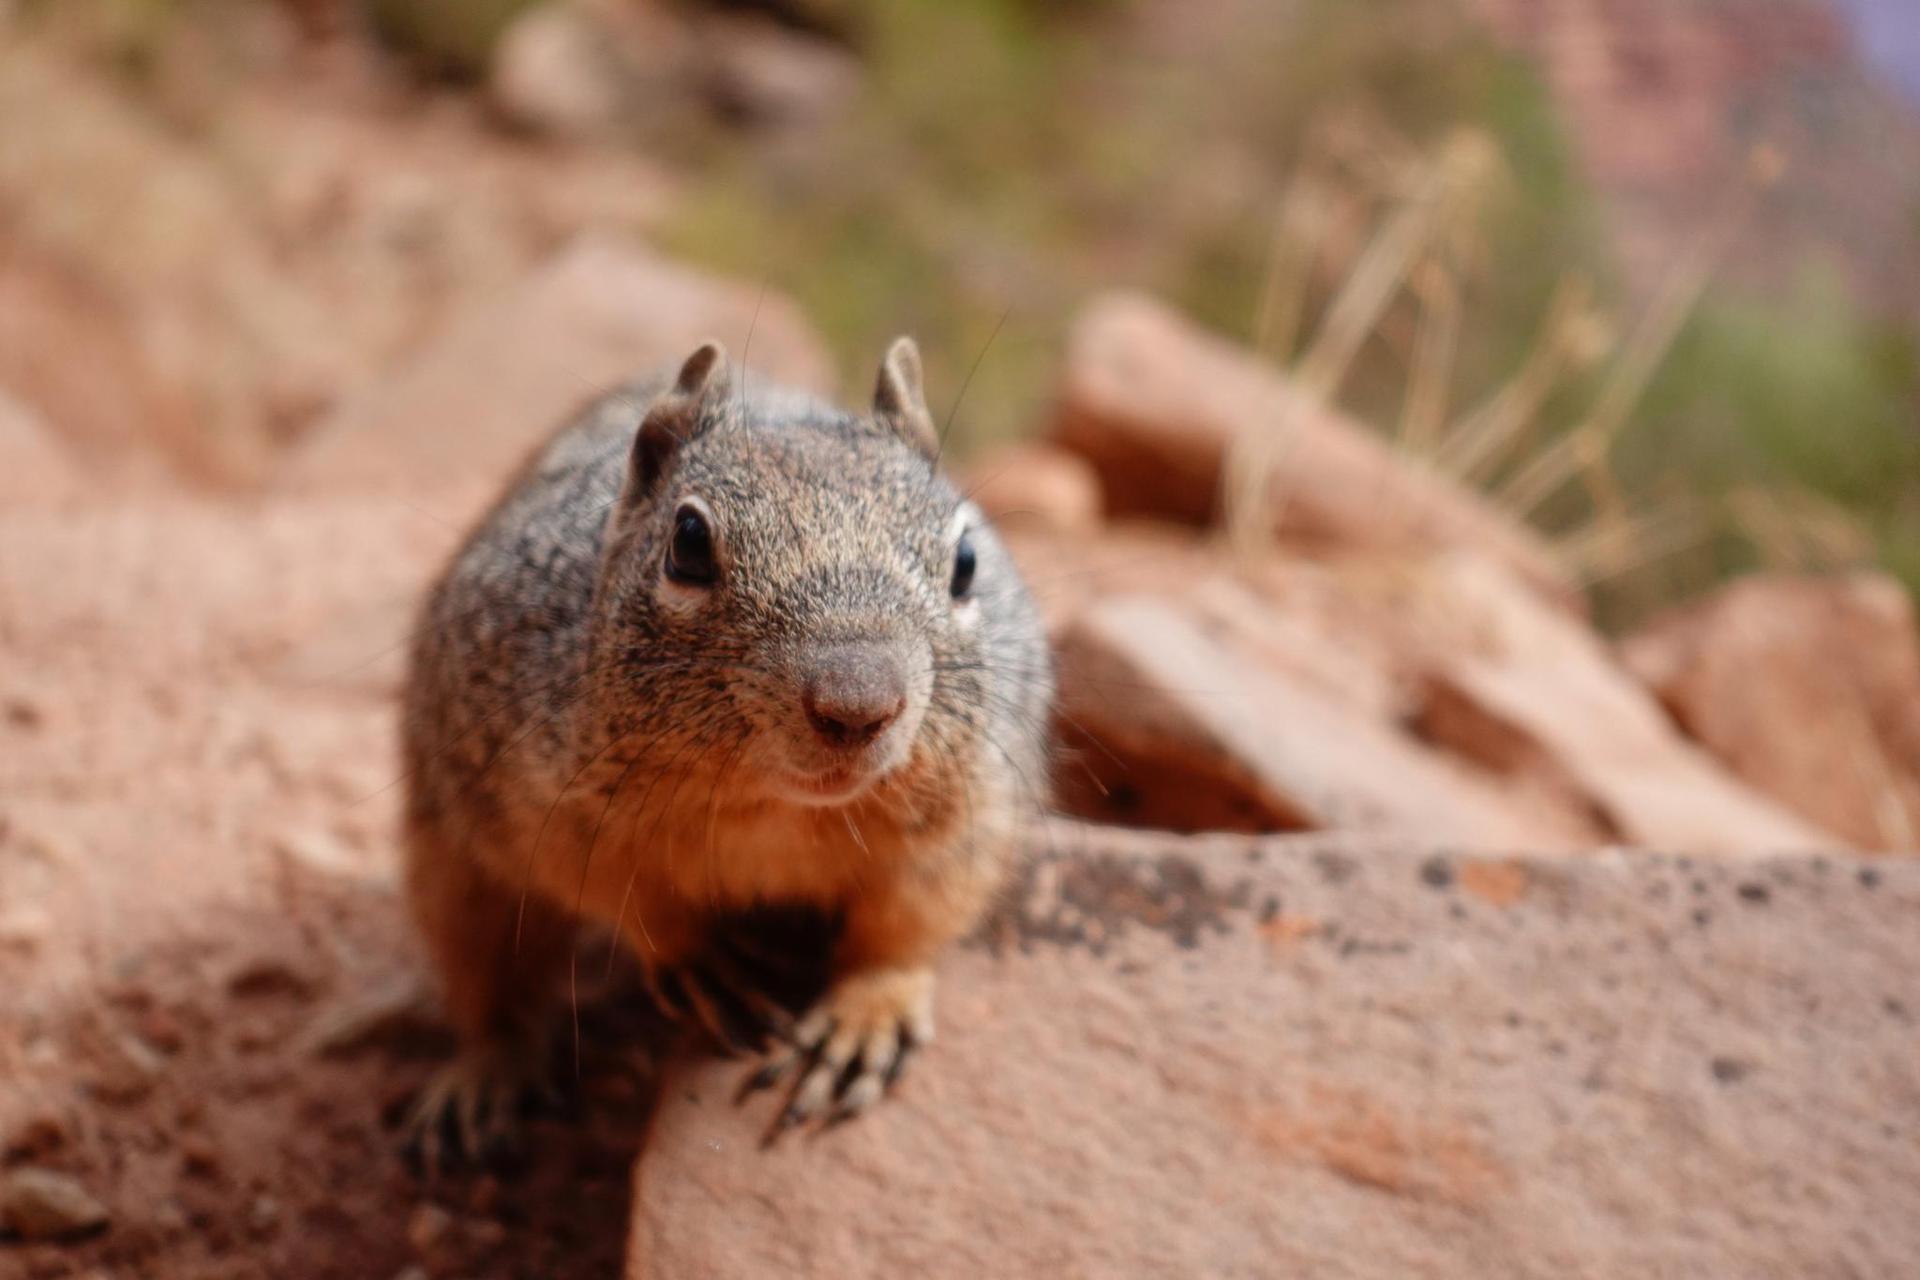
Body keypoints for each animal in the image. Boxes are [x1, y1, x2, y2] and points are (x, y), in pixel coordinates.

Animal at [398, 336, 1053, 1165]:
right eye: (686, 544)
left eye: (967, 561)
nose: (858, 704)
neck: (776, 806)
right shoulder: (536, 796)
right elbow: (617, 889)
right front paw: (702, 961)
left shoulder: (971, 809)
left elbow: (908, 923)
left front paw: (863, 1018)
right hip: (450, 871)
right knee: (491, 983)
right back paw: (481, 1079)